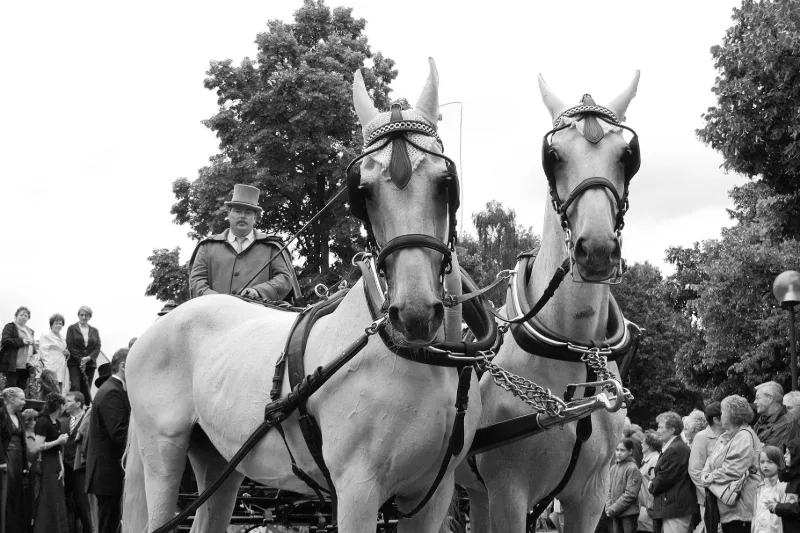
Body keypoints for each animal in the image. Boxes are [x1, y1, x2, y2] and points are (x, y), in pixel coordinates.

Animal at [121, 58, 485, 533]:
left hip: (220, 459)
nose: (416, 314)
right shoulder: (357, 492)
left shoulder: (433, 495)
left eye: (445, 183)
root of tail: (156, 329)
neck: (419, 358)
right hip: (162, 448)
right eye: (363, 191)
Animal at [459, 71, 642, 533]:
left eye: (626, 155)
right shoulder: (509, 492)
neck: (573, 350)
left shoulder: (590, 497)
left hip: (476, 492)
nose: (597, 250)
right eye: (554, 155)